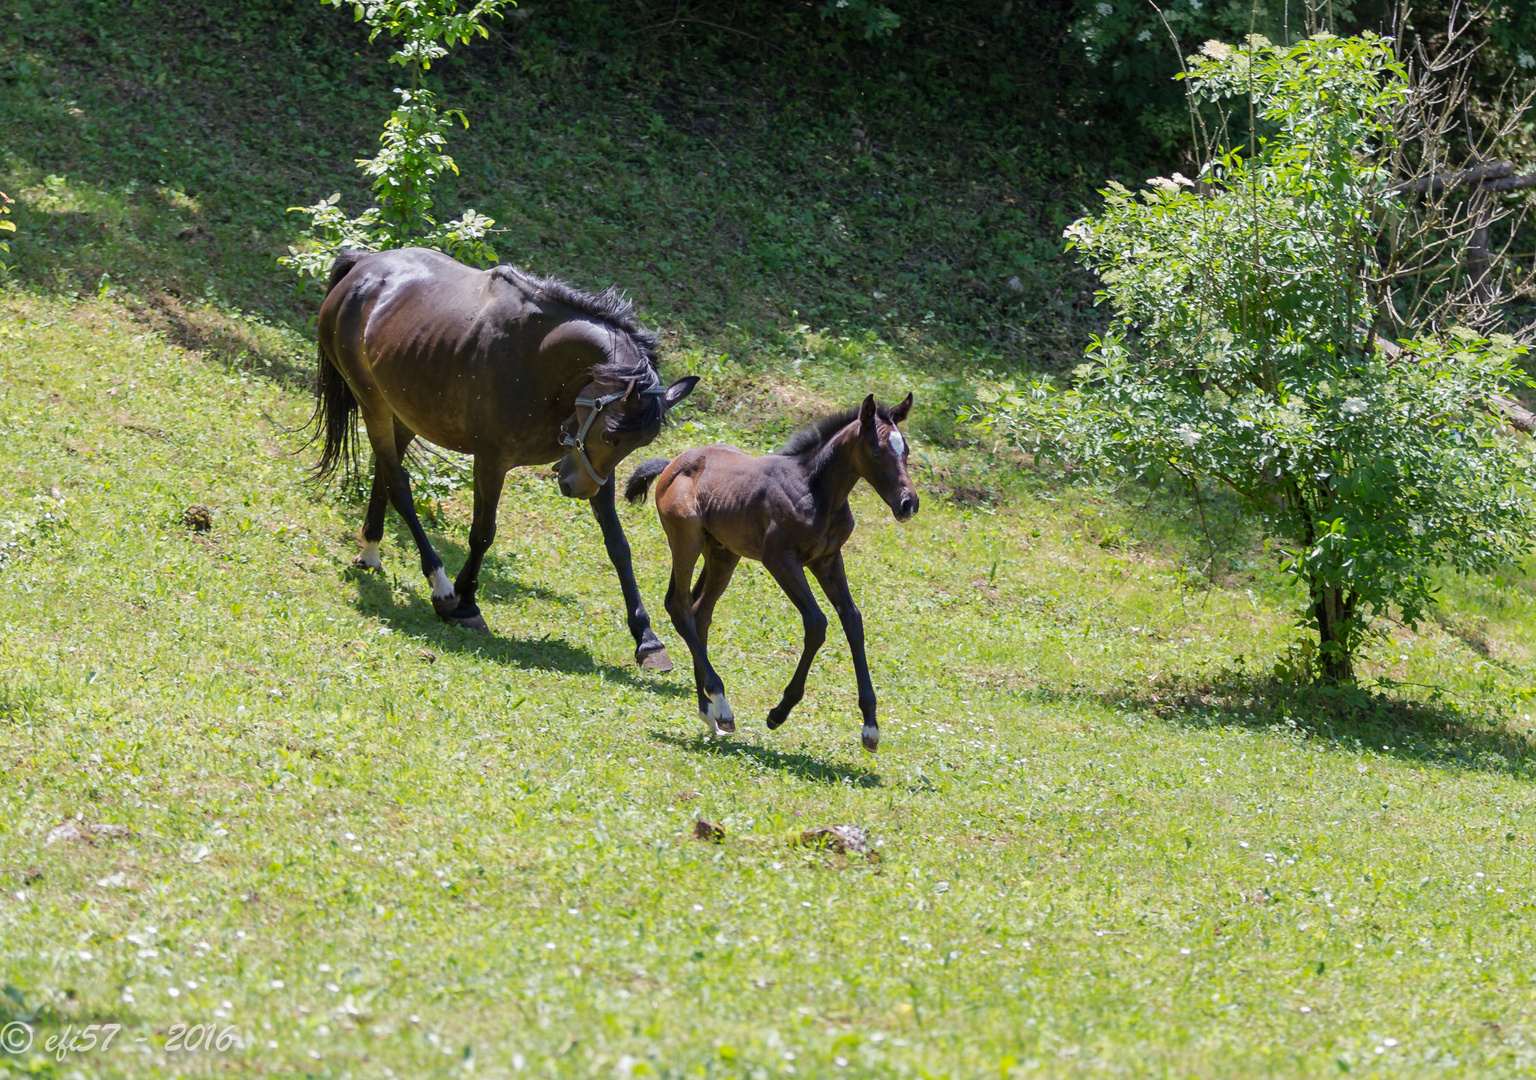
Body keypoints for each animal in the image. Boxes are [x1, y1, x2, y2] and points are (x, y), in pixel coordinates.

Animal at [620, 396, 909, 752]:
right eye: (876, 451)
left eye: (906, 451)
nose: (908, 503)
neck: (816, 490)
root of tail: (671, 465)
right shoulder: (780, 560)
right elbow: (817, 623)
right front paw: (779, 712)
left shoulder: (827, 560)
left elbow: (853, 621)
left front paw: (870, 726)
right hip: (686, 540)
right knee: (678, 604)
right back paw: (721, 705)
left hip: (722, 552)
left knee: (699, 609)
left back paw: (708, 711)